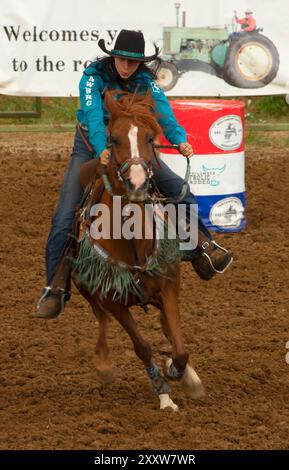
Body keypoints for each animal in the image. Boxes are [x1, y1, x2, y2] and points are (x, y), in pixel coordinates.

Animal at [71, 90, 204, 410]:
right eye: (113, 138)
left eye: (150, 137)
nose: (138, 183)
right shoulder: (113, 301)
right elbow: (142, 347)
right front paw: (164, 393)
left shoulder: (168, 287)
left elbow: (179, 347)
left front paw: (179, 373)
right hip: (86, 288)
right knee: (101, 320)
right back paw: (104, 365)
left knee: (167, 327)